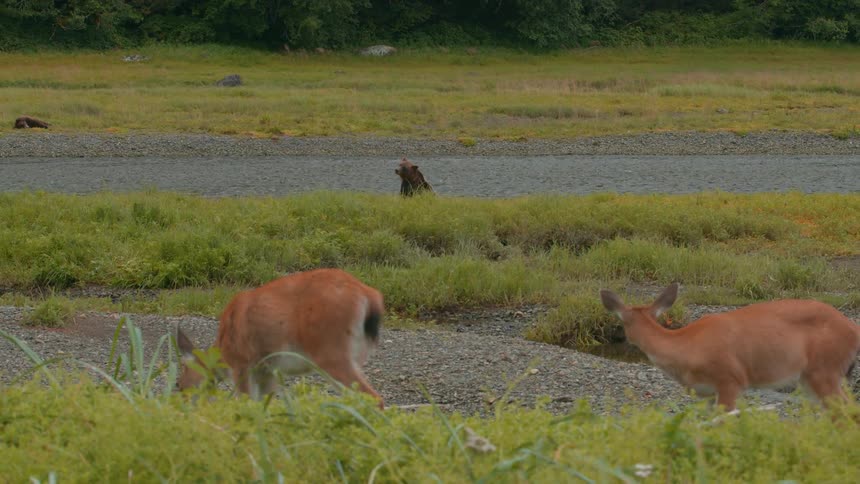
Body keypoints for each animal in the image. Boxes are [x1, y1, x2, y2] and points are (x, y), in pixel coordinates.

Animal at [175, 268, 385, 408]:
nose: (182, 402)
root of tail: (369, 295)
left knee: (374, 398)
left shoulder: (242, 364)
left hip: (331, 351)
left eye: (179, 384)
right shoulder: (267, 372)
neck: (222, 349)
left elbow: (246, 403)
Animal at [600, 283, 860, 411]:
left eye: (622, 323)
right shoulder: (703, 393)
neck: (686, 346)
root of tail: (853, 328)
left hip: (824, 369)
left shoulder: (730, 379)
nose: (623, 339)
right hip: (813, 379)